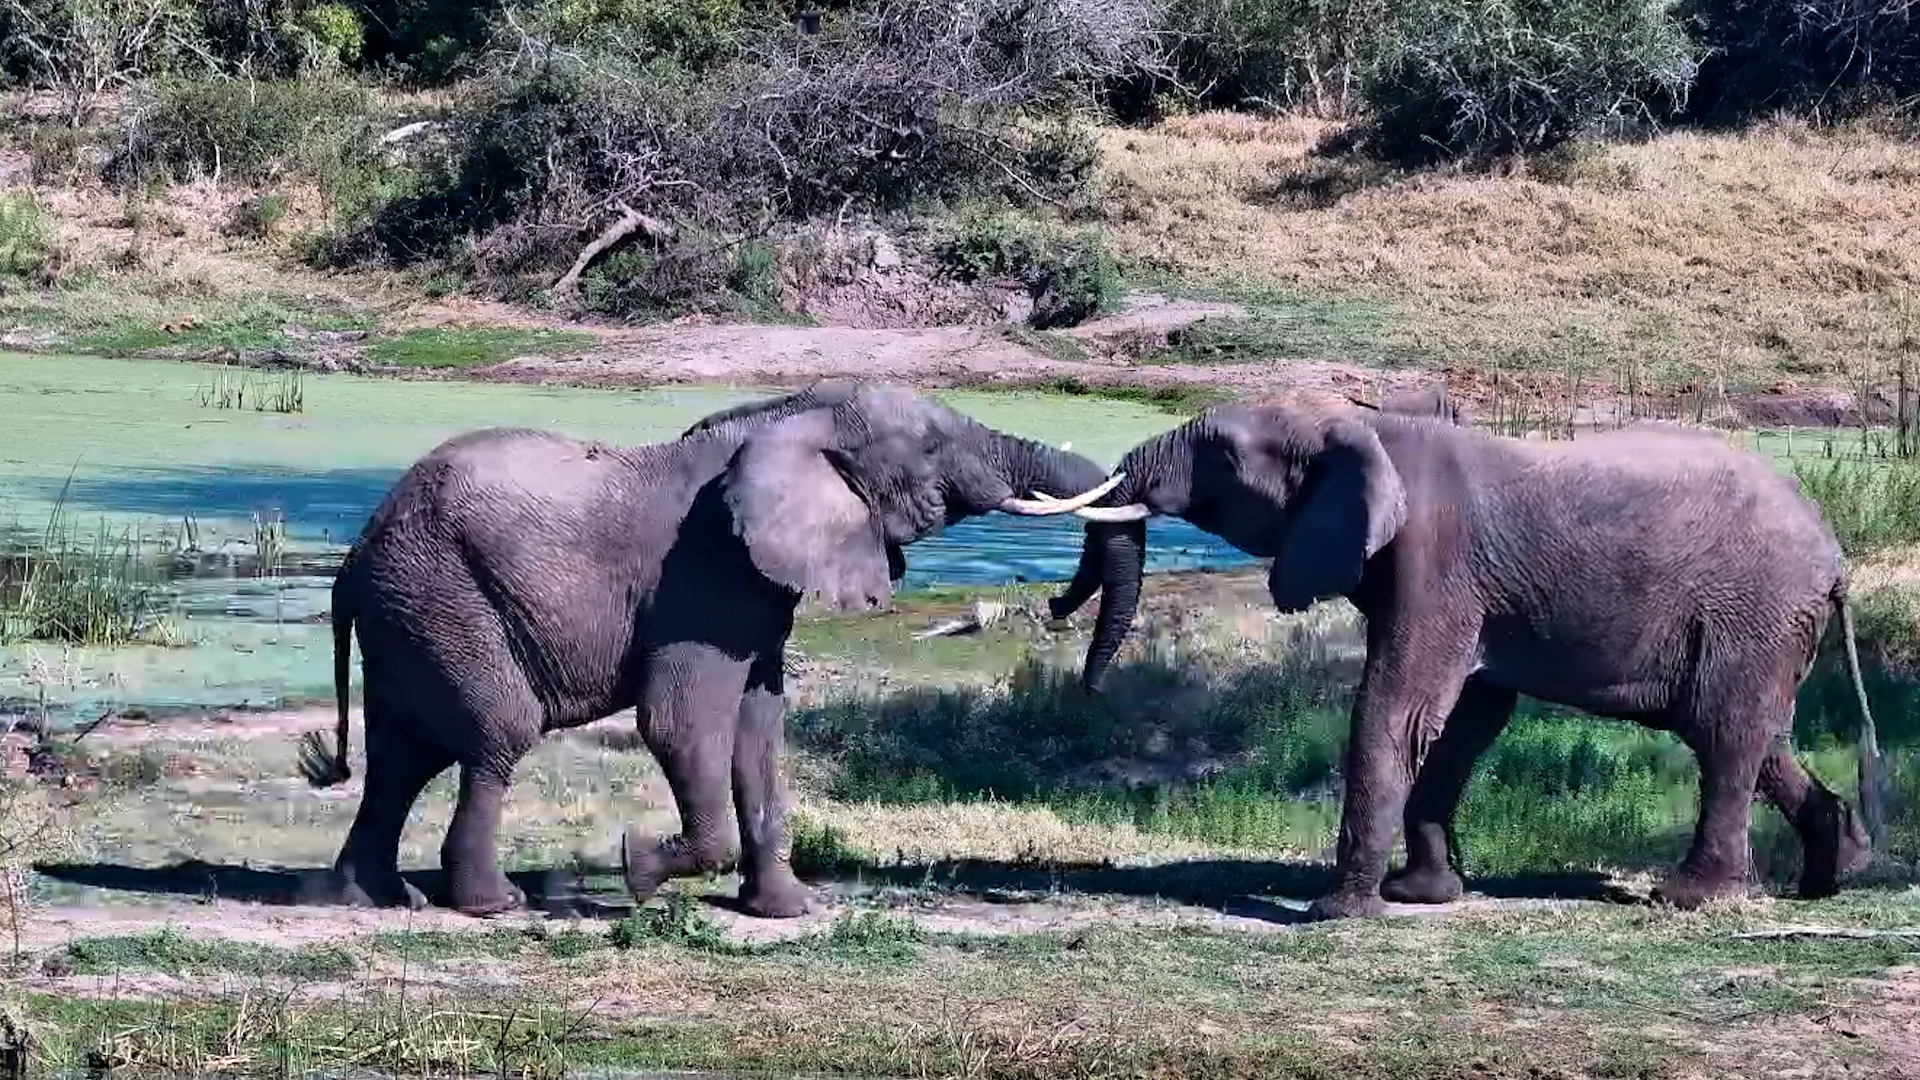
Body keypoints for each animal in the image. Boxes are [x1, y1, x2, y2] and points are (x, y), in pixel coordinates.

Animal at [301, 381, 1131, 919]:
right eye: (931, 448)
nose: (1056, 611)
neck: (790, 416)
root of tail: (353, 560)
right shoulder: (703, 582)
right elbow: (681, 724)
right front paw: (636, 870)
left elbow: (759, 732)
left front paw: (788, 911)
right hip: (446, 596)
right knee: (493, 735)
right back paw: (492, 904)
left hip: (411, 609)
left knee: (403, 756)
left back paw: (376, 898)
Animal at [1042, 399, 1878, 920]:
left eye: (1217, 453)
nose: (1088, 686)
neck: (1362, 423)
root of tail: (1835, 556)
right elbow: (1463, 722)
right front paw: (1422, 895)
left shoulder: (1436, 564)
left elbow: (1399, 707)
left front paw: (1337, 912)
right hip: (1766, 625)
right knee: (1752, 735)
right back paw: (1835, 873)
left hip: (1753, 610)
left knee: (1725, 733)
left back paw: (1692, 899)